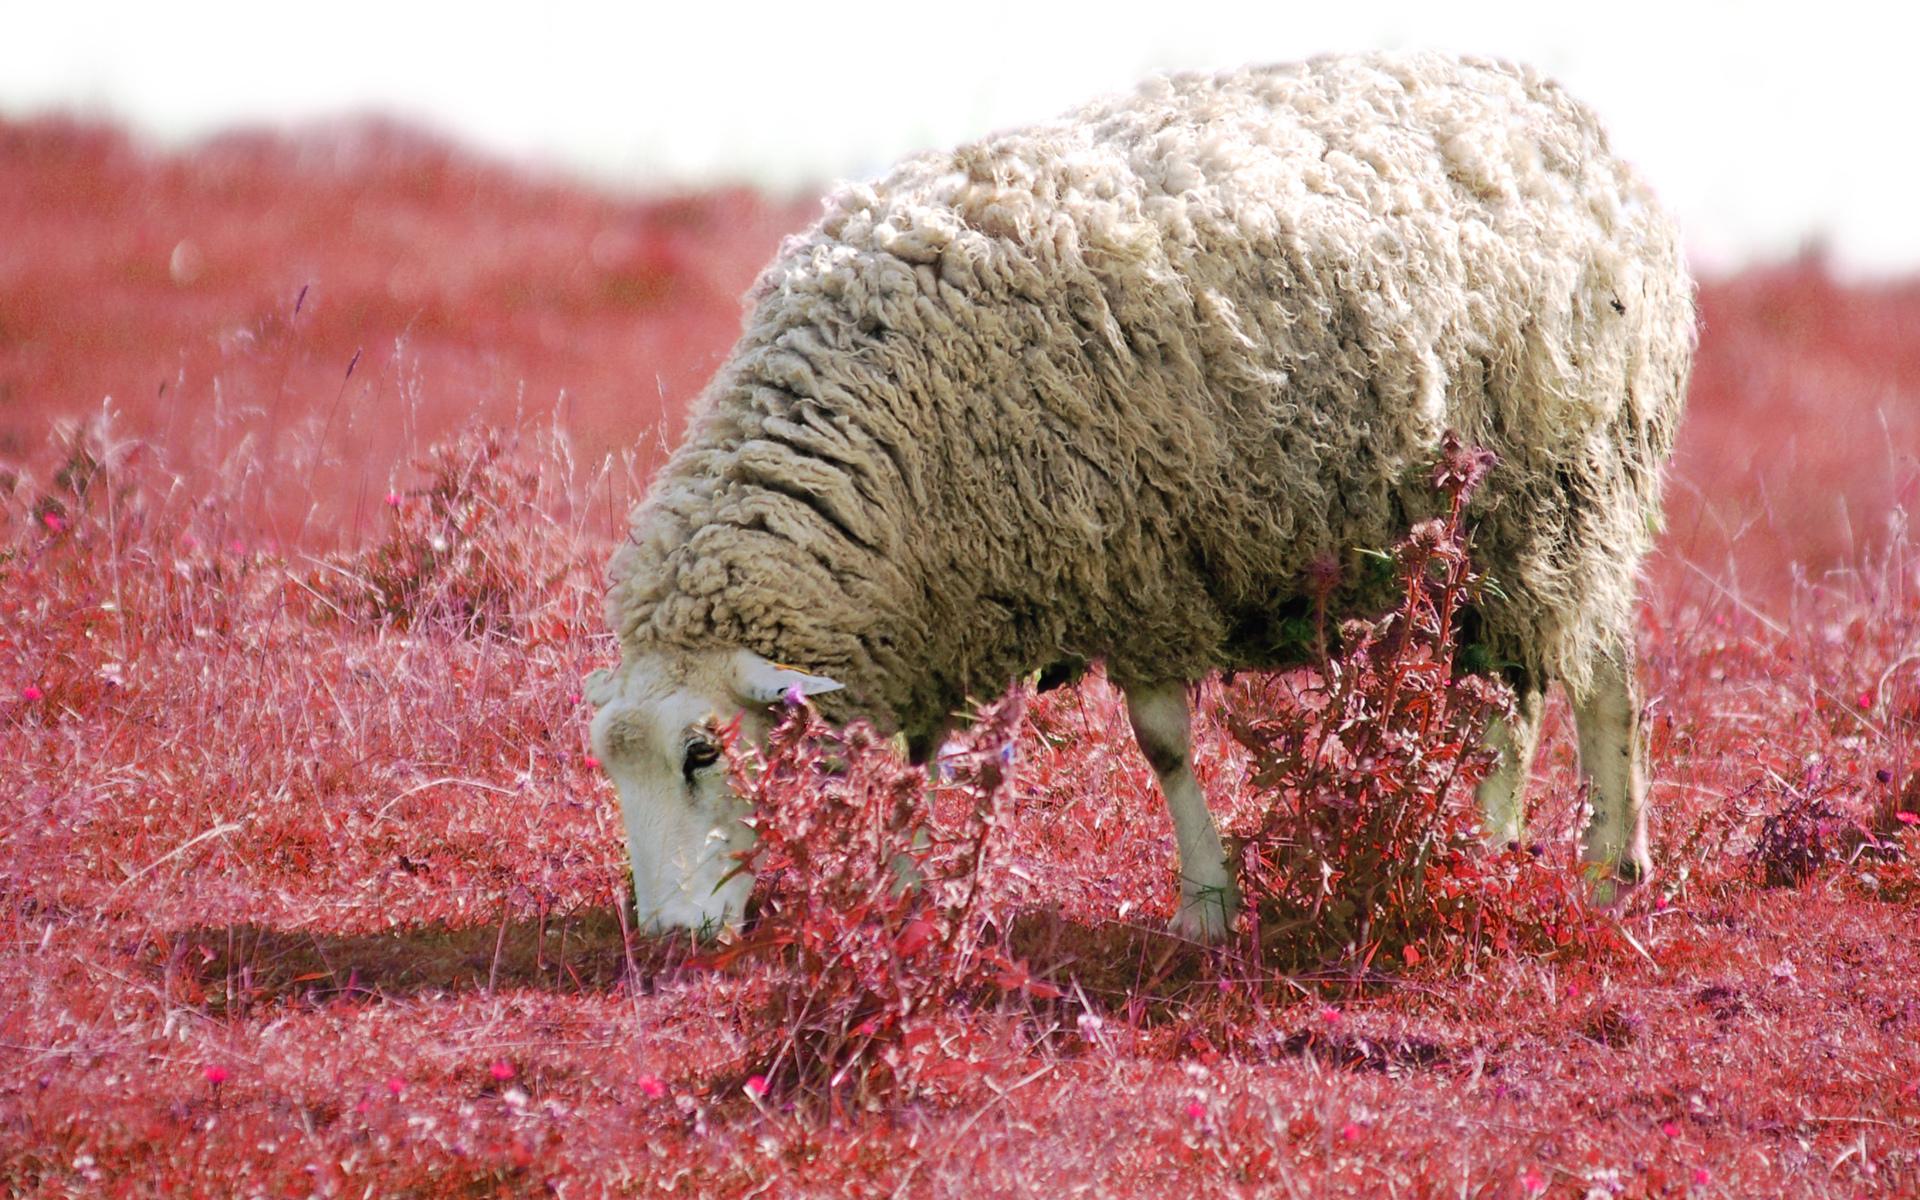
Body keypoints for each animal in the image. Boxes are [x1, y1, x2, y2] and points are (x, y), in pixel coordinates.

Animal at [583, 51, 1697, 940]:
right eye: (614, 767)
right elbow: (914, 762)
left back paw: (1552, 857)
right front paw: (902, 896)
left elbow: (1161, 748)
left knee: (1567, 680)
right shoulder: (931, 616)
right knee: (1550, 679)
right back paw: (1542, 852)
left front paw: (1205, 905)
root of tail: (1585, 135)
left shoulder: (1143, 573)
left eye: (701, 752)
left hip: (1555, 494)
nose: (670, 935)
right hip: (1527, 524)